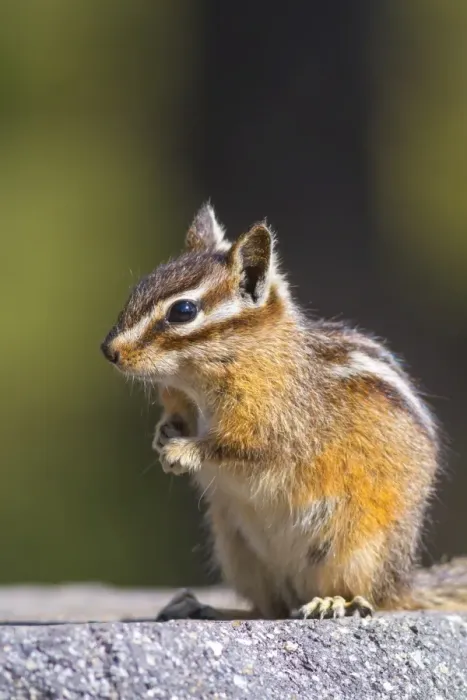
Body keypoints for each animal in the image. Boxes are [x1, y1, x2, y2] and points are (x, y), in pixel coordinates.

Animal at [101, 203, 467, 620]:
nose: (108, 350)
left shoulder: (276, 422)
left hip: (355, 546)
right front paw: (164, 434)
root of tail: (402, 582)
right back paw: (203, 608)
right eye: (139, 288)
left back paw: (333, 601)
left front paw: (183, 451)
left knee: (367, 597)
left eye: (183, 311)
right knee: (268, 608)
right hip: (237, 549)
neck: (198, 381)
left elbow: (239, 445)